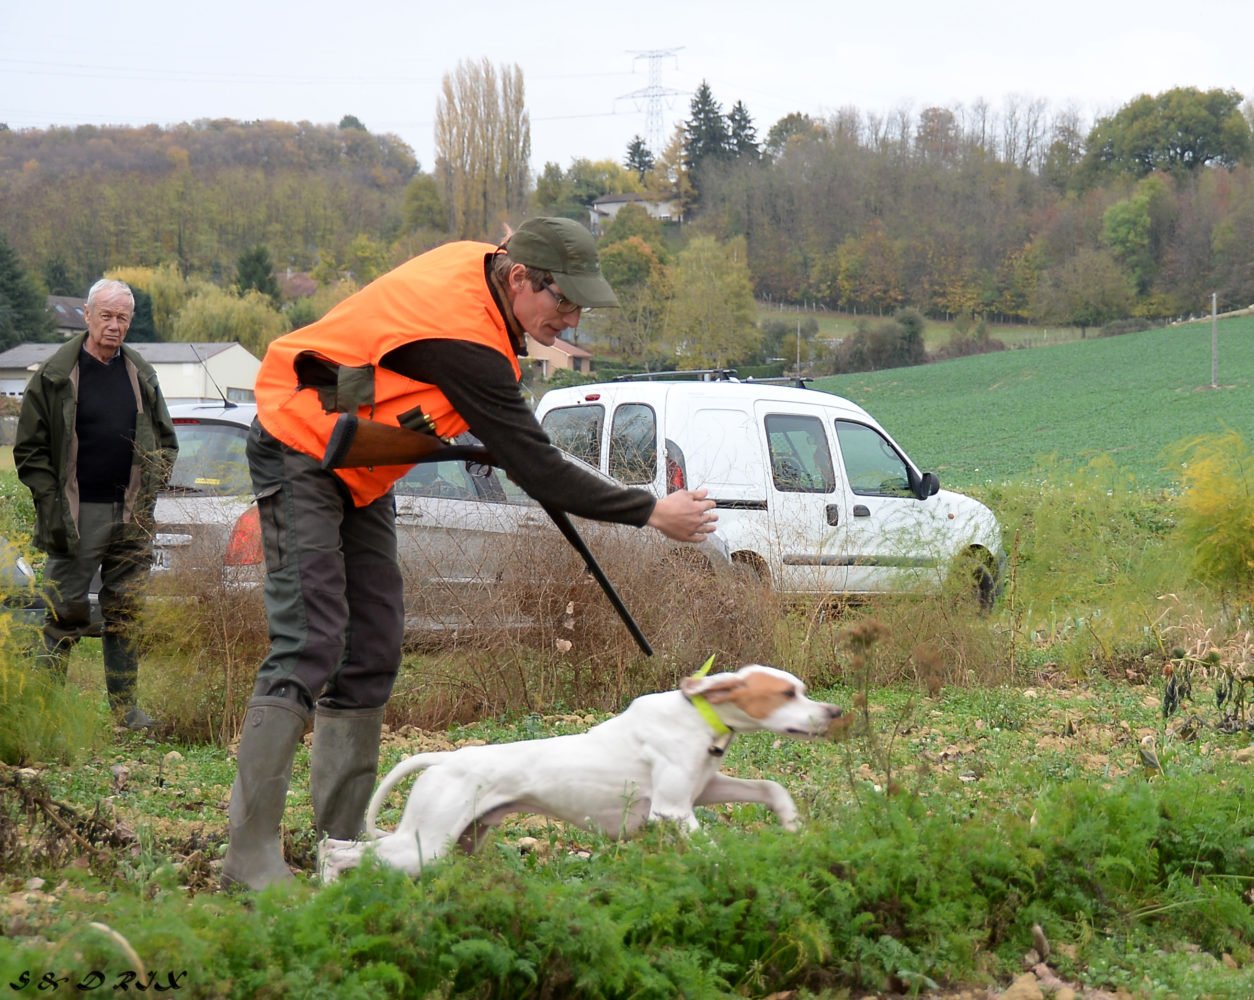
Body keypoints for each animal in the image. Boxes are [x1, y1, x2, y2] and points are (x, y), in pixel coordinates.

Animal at [318, 662, 842, 883]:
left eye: (801, 689)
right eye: (787, 694)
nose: (834, 712)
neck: (700, 714)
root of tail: (445, 758)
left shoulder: (703, 789)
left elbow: (770, 787)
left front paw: (794, 825)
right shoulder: (673, 811)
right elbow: (715, 848)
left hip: (452, 841)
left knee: (339, 847)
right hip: (425, 847)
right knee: (338, 852)